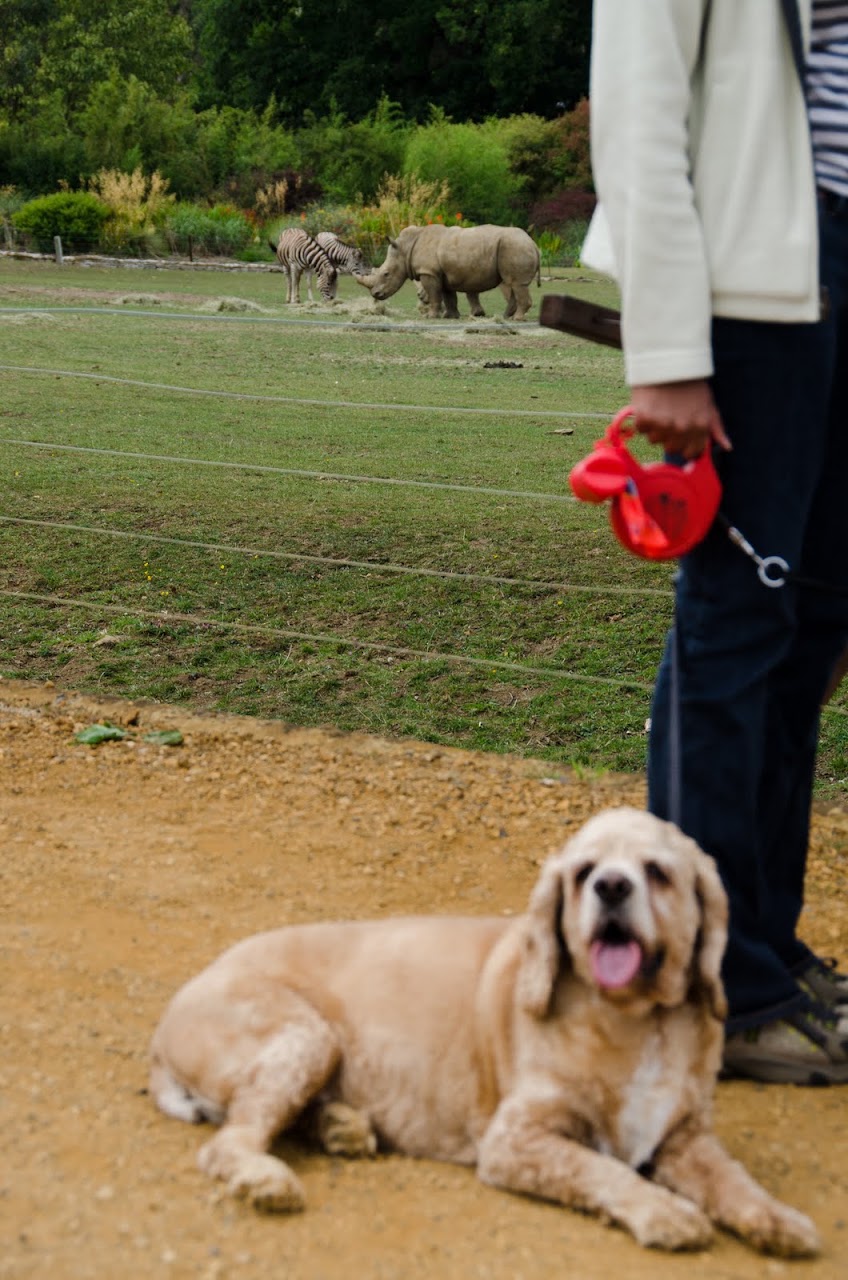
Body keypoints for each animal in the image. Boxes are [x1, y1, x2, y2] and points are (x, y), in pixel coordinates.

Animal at [354, 224, 541, 321]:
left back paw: (516, 319)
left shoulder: (429, 273)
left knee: (517, 284)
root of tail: (534, 244)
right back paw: (505, 317)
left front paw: (431, 317)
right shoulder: (442, 274)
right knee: (513, 285)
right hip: (515, 247)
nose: (375, 294)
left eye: (386, 274)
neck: (405, 248)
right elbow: (449, 296)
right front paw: (450, 316)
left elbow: (435, 295)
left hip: (515, 247)